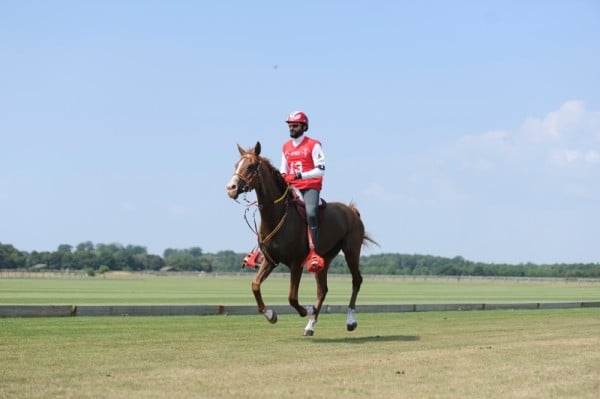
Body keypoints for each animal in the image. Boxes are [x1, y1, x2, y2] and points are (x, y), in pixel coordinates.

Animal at [225, 142, 376, 336]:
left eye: (251, 166)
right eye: (236, 165)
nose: (231, 188)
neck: (278, 215)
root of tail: (351, 211)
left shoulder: (296, 264)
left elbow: (292, 298)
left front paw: (306, 309)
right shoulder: (270, 261)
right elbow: (255, 285)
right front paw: (270, 314)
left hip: (351, 250)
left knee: (356, 280)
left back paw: (350, 321)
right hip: (324, 258)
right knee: (322, 290)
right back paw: (310, 326)